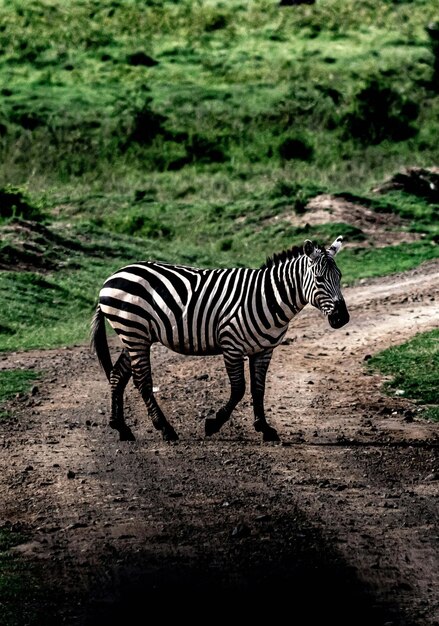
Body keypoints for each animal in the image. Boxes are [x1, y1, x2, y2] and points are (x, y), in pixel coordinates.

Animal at [90, 235, 350, 444]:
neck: (267, 298)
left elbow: (258, 389)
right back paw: (165, 429)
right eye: (319, 279)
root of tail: (114, 275)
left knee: (117, 375)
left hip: (133, 335)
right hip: (135, 332)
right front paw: (213, 424)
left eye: (339, 277)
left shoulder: (264, 350)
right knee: (142, 381)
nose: (342, 318)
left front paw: (265, 428)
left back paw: (121, 428)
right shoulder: (231, 344)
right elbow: (238, 389)